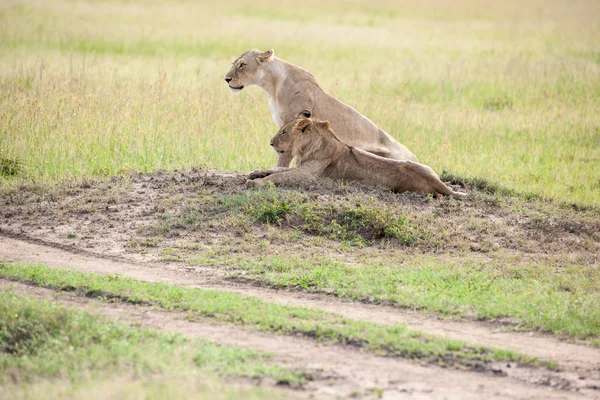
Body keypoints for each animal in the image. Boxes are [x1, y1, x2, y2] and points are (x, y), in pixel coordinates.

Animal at [225, 48, 418, 167]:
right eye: (234, 63)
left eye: (242, 65)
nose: (226, 79)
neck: (272, 85)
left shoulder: (294, 121)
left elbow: (284, 155)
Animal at [246, 115, 466, 198]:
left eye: (283, 132)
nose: (271, 143)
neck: (307, 147)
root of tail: (437, 184)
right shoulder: (301, 166)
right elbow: (277, 168)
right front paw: (255, 172)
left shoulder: (308, 175)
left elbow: (279, 175)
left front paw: (256, 183)